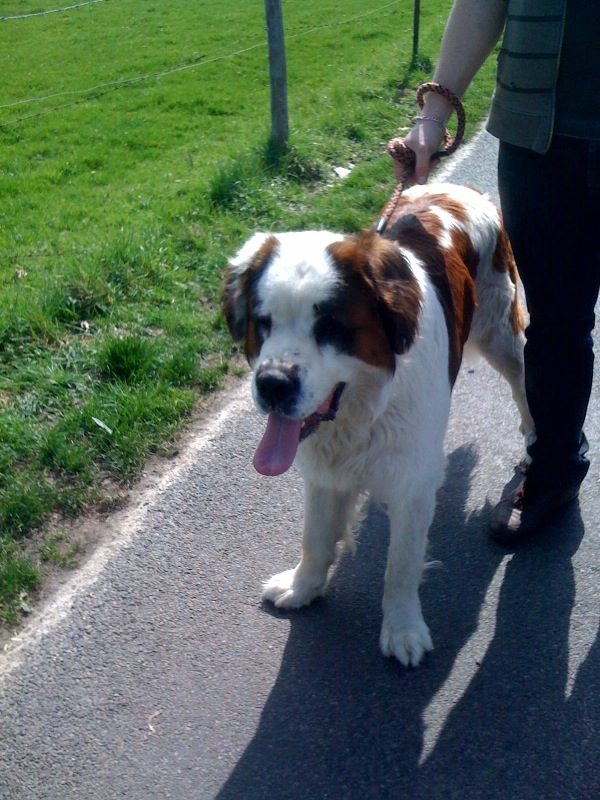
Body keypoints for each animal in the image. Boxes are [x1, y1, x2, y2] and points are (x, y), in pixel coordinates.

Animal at [223, 184, 532, 664]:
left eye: (329, 326)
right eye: (264, 322)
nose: (272, 383)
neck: (362, 408)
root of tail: (461, 190)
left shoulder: (412, 481)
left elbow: (401, 566)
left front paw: (403, 629)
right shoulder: (324, 473)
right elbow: (314, 537)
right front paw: (303, 587)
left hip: (502, 331)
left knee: (523, 383)